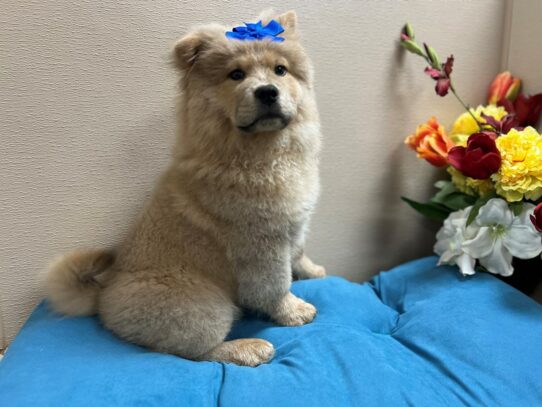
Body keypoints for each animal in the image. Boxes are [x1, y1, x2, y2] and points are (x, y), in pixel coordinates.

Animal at [46, 10, 326, 366]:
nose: (267, 91)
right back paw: (249, 348)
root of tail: (103, 296)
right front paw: (293, 311)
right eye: (236, 75)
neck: (263, 152)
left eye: (280, 70)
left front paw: (314, 271)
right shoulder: (262, 244)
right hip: (203, 304)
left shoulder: (294, 225)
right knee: (197, 352)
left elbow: (299, 254)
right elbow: (276, 285)